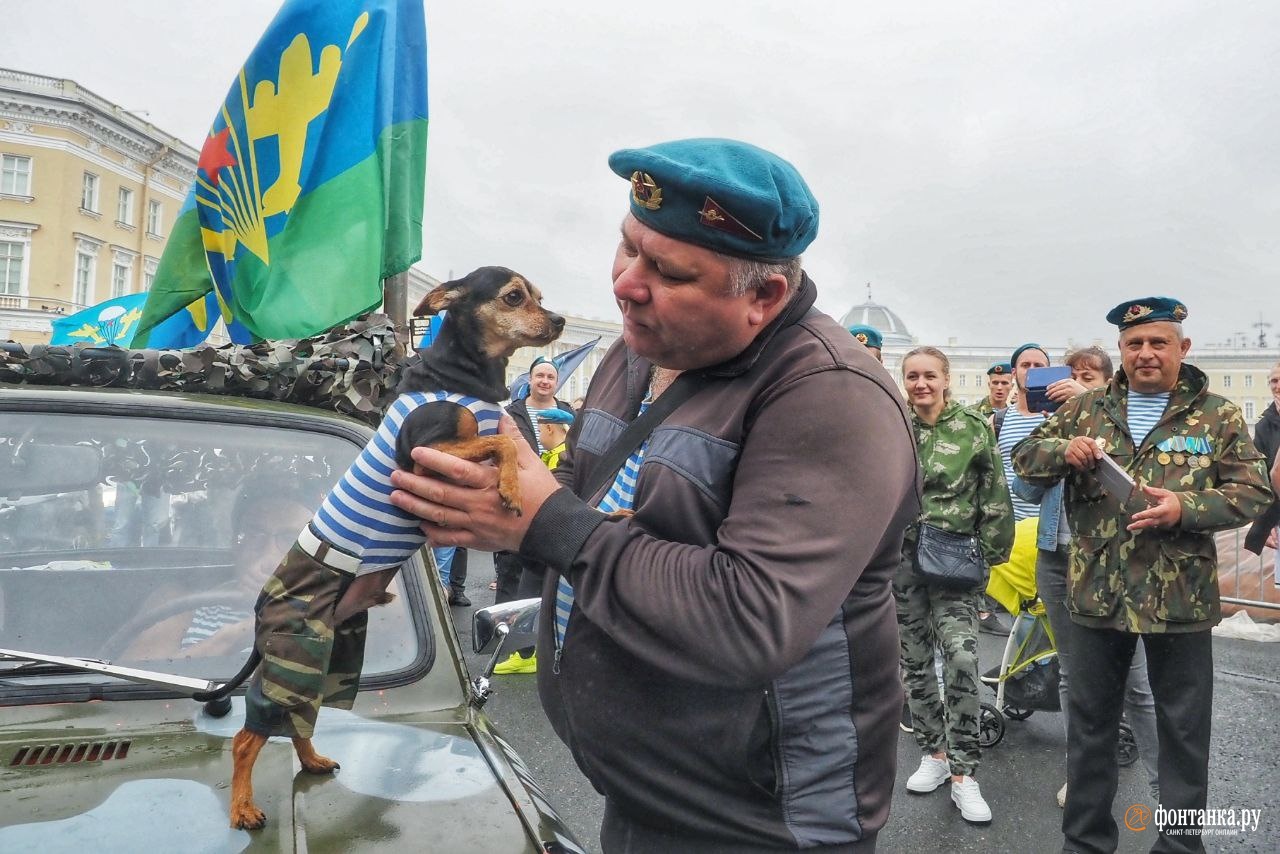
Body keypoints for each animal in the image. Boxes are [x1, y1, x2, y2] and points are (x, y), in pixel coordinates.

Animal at [217, 267, 563, 829]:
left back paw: (312, 760)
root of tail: (260, 607)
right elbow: (502, 443)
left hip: (328, 662)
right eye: (514, 297)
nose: (557, 322)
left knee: (298, 722)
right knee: (249, 738)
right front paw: (512, 487)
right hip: (291, 660)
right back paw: (244, 808)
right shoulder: (425, 452)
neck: (465, 377)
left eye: (540, 297)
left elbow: (502, 441)